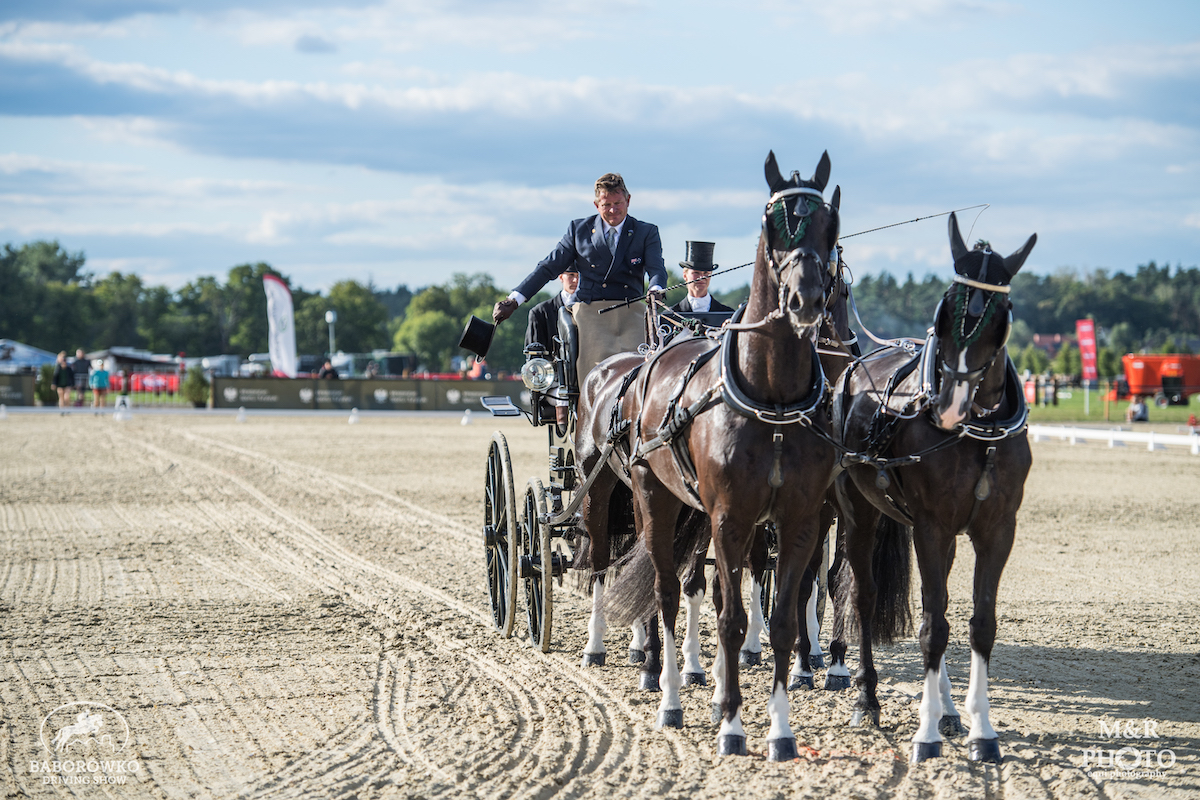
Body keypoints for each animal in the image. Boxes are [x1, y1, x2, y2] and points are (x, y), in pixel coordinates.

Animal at [590, 150, 841, 759]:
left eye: (831, 224)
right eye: (773, 224)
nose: (805, 300)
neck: (772, 399)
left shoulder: (799, 520)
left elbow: (781, 618)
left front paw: (779, 729)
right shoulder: (730, 518)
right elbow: (728, 617)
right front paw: (731, 725)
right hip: (650, 497)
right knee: (663, 591)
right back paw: (668, 693)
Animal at [832, 212, 1036, 763]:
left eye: (1000, 315)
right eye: (947, 307)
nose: (947, 406)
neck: (978, 434)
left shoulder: (997, 530)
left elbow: (978, 624)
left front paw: (981, 729)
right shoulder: (931, 525)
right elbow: (932, 627)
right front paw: (924, 735)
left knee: (934, 596)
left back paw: (945, 706)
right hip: (859, 511)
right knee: (862, 594)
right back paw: (866, 696)